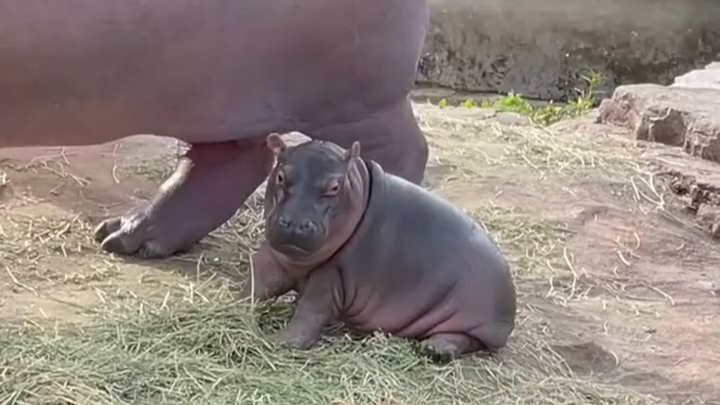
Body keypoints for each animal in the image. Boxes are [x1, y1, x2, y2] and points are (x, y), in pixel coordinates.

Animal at [242, 134, 517, 360]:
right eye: (280, 175)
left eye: (334, 187)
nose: (296, 223)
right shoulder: (274, 256)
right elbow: (256, 283)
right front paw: (237, 305)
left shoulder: (333, 278)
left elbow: (310, 313)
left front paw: (277, 340)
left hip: (478, 320)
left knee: (467, 339)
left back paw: (434, 350)